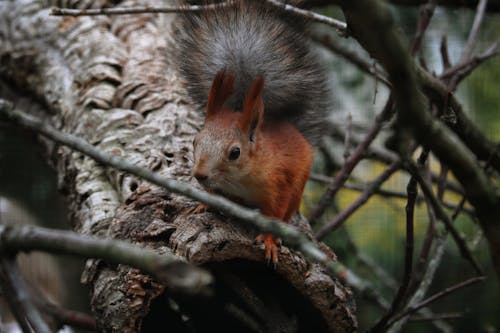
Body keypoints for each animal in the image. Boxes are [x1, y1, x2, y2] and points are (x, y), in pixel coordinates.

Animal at [176, 0, 332, 264]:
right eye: (195, 141)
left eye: (235, 153)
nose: (200, 175)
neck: (238, 180)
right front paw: (205, 205)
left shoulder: (278, 184)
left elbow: (274, 218)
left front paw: (269, 241)